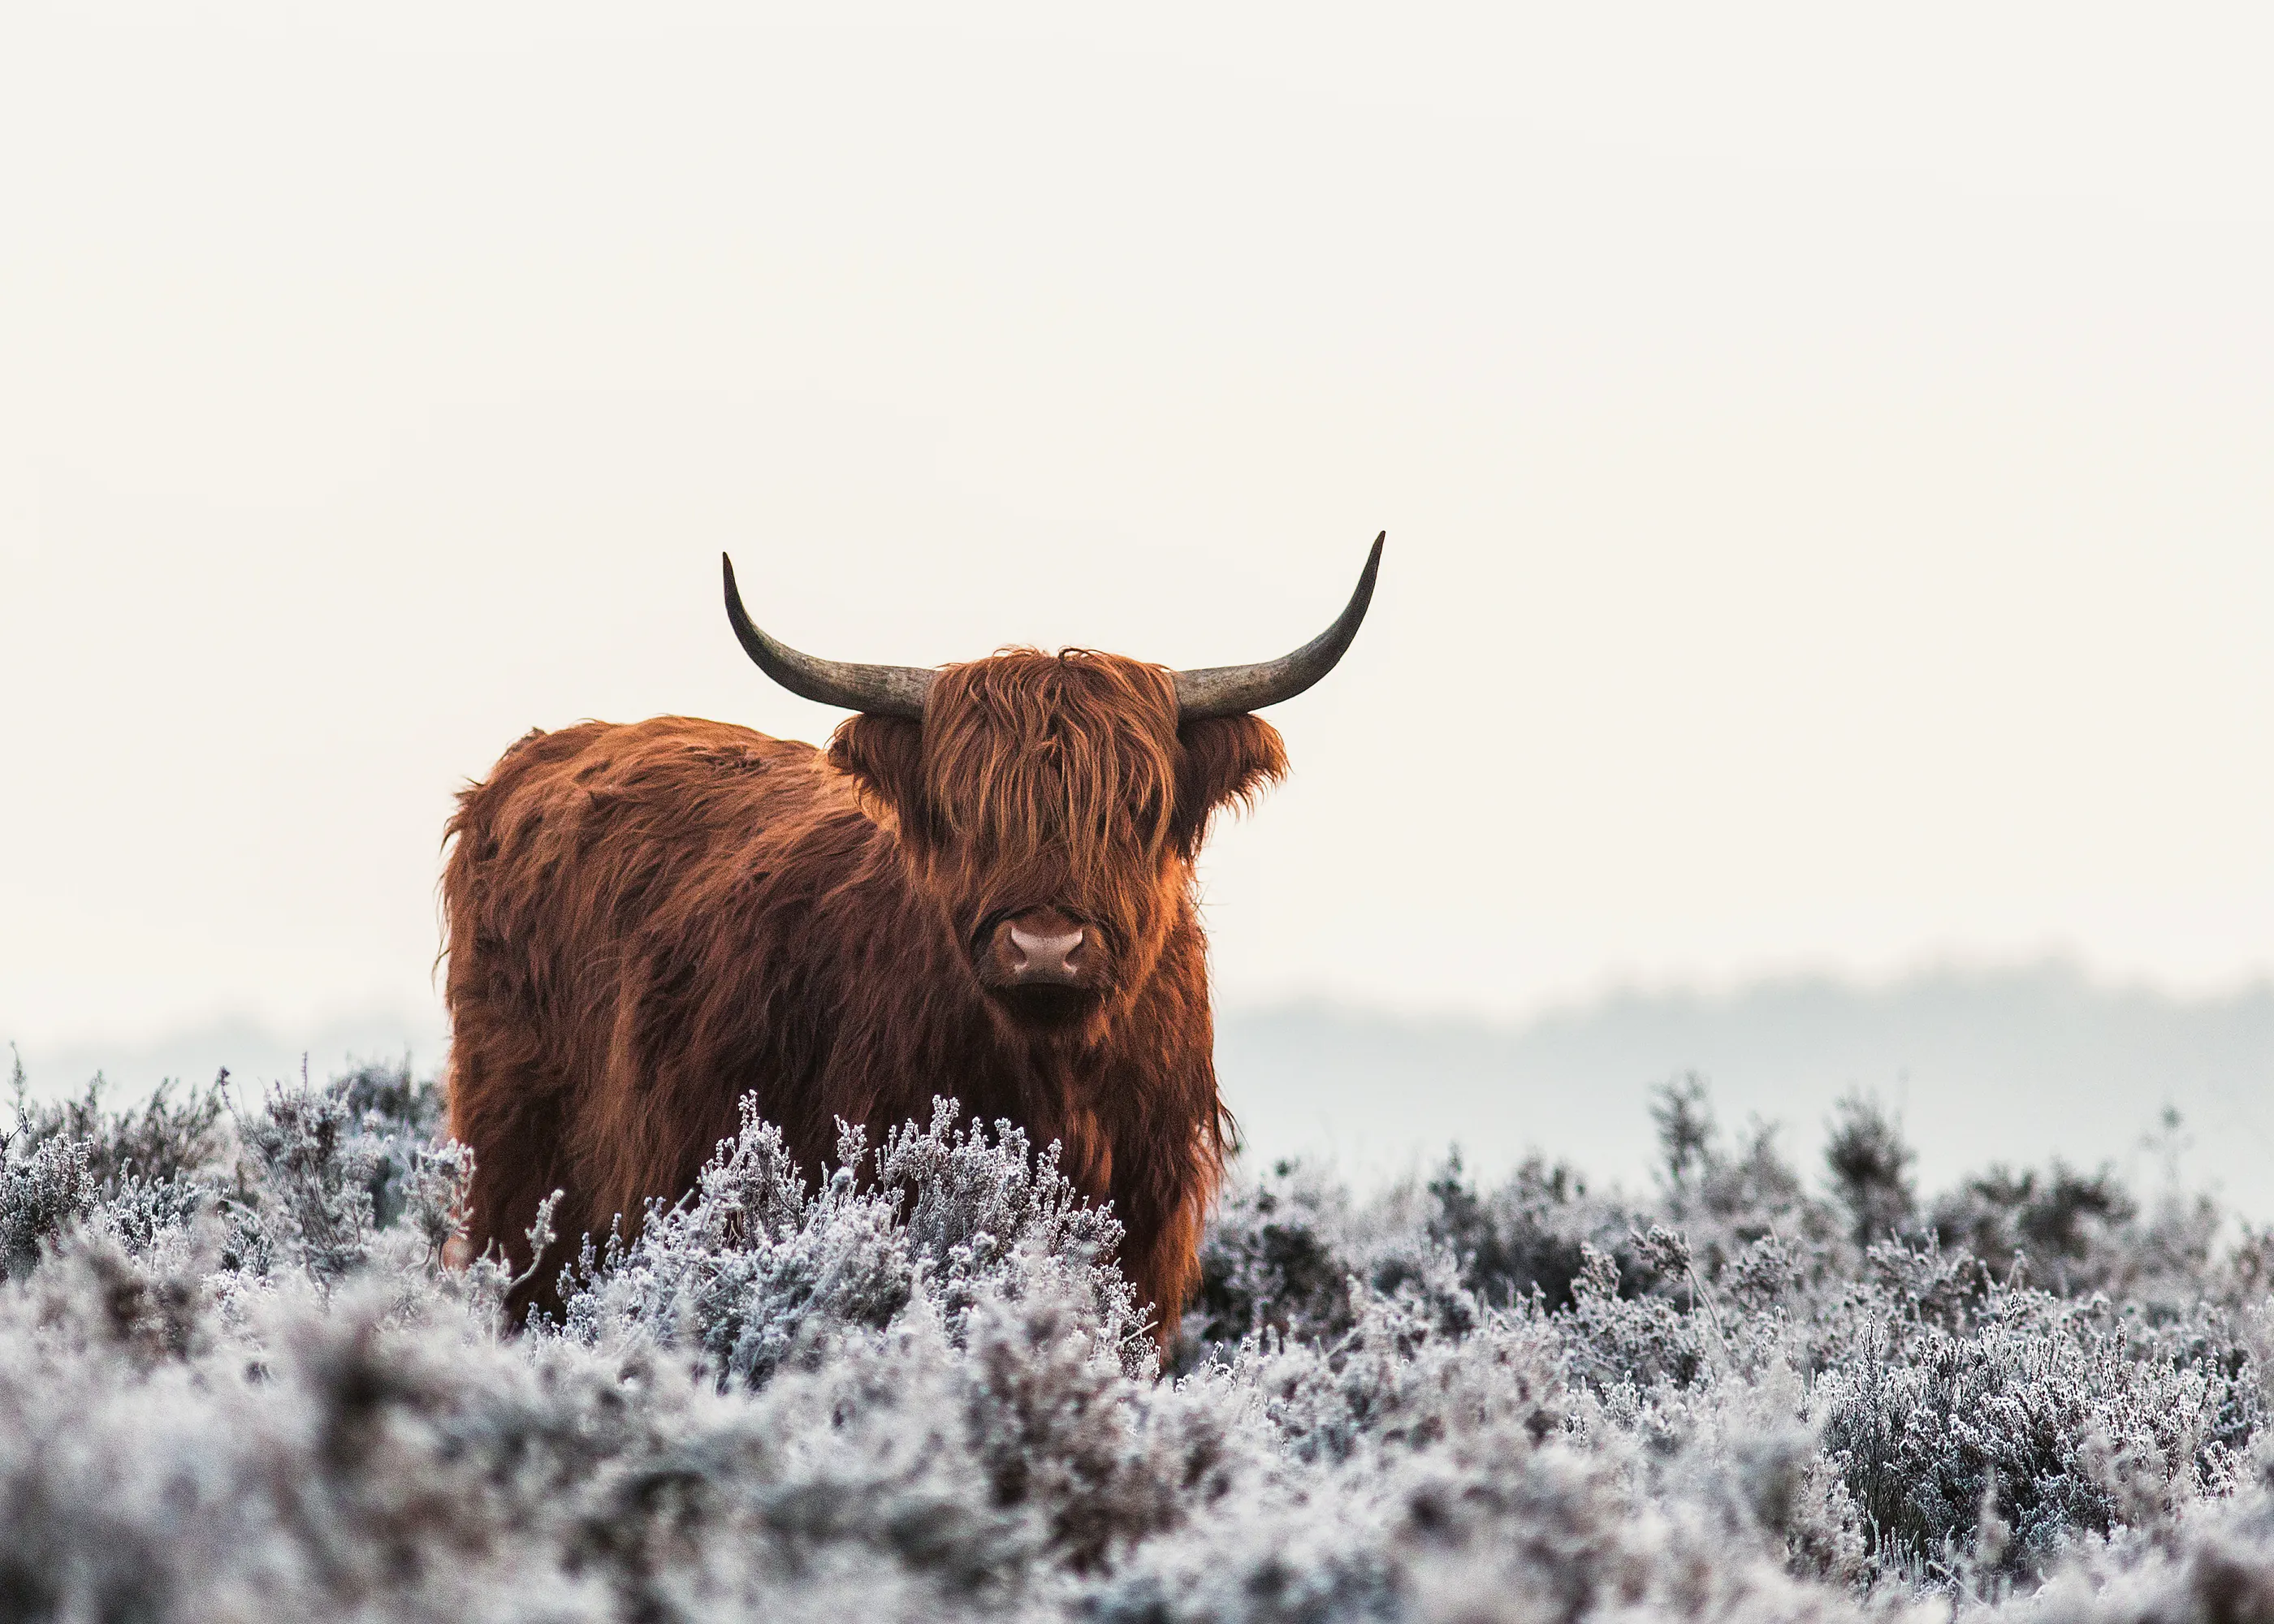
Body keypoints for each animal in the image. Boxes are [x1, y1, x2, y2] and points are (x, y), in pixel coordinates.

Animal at [441, 534, 1383, 1339]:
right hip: (520, 1171)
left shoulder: (1144, 1235)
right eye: (966, 809)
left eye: (1135, 807)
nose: (1045, 947)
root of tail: (535, 759)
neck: (1052, 1076)